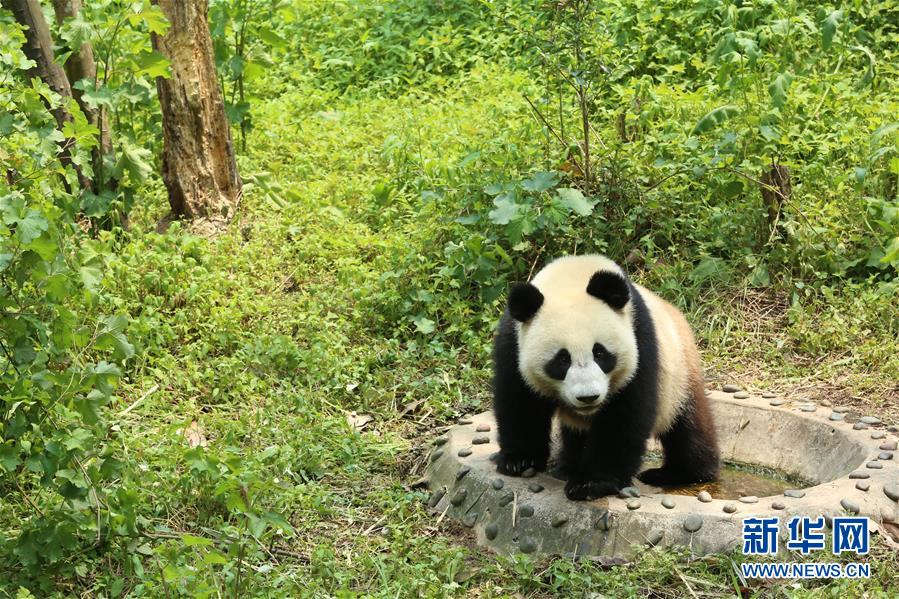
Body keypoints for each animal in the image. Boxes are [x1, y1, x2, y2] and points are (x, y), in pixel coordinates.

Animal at [492, 254, 719, 500]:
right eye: (562, 359)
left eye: (600, 353)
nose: (588, 397)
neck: (572, 276)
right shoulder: (513, 342)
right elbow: (521, 402)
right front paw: (519, 460)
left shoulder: (640, 338)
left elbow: (624, 415)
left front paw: (592, 483)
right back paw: (567, 466)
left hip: (678, 372)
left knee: (687, 424)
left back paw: (680, 472)